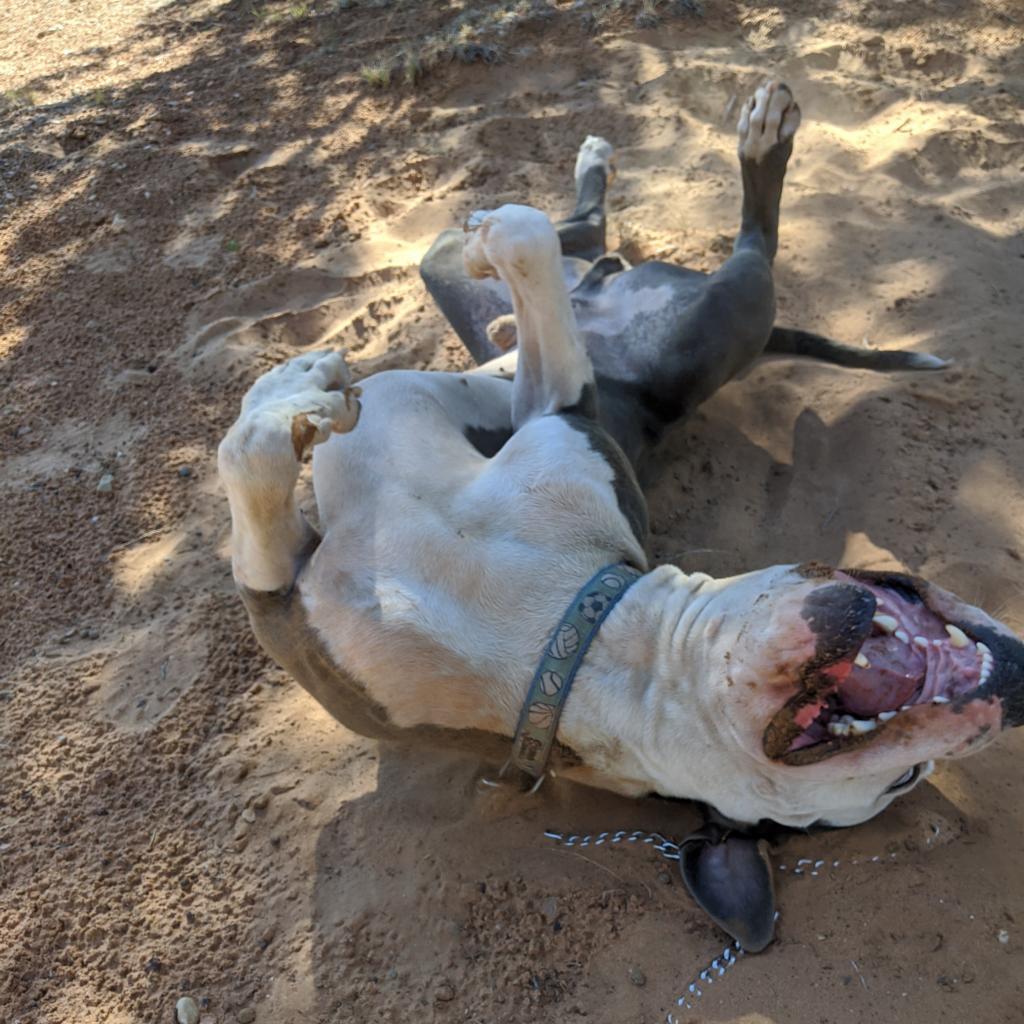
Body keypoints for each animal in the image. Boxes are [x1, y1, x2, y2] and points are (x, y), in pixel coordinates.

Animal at [218, 81, 1024, 950]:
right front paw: (294, 390)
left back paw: (760, 141)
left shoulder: (286, 608)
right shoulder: (541, 424)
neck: (600, 652)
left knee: (748, 246)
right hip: (466, 279)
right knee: (573, 238)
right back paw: (578, 201)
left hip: (727, 314)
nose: (1011, 683)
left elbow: (251, 465)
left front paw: (290, 400)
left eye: (901, 781)